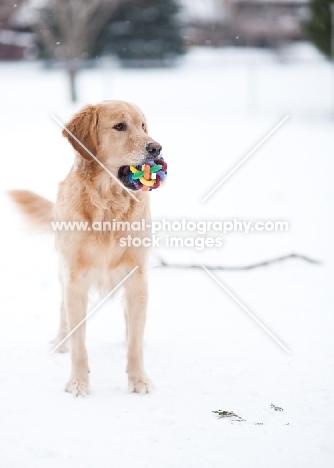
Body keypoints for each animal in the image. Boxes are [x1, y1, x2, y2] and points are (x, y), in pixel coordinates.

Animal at [9, 100, 162, 396]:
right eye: (120, 126)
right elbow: (79, 342)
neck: (107, 206)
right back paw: (60, 341)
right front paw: (78, 382)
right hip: (62, 271)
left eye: (143, 126)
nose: (157, 148)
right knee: (62, 311)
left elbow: (135, 342)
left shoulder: (137, 277)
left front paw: (138, 379)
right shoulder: (75, 279)